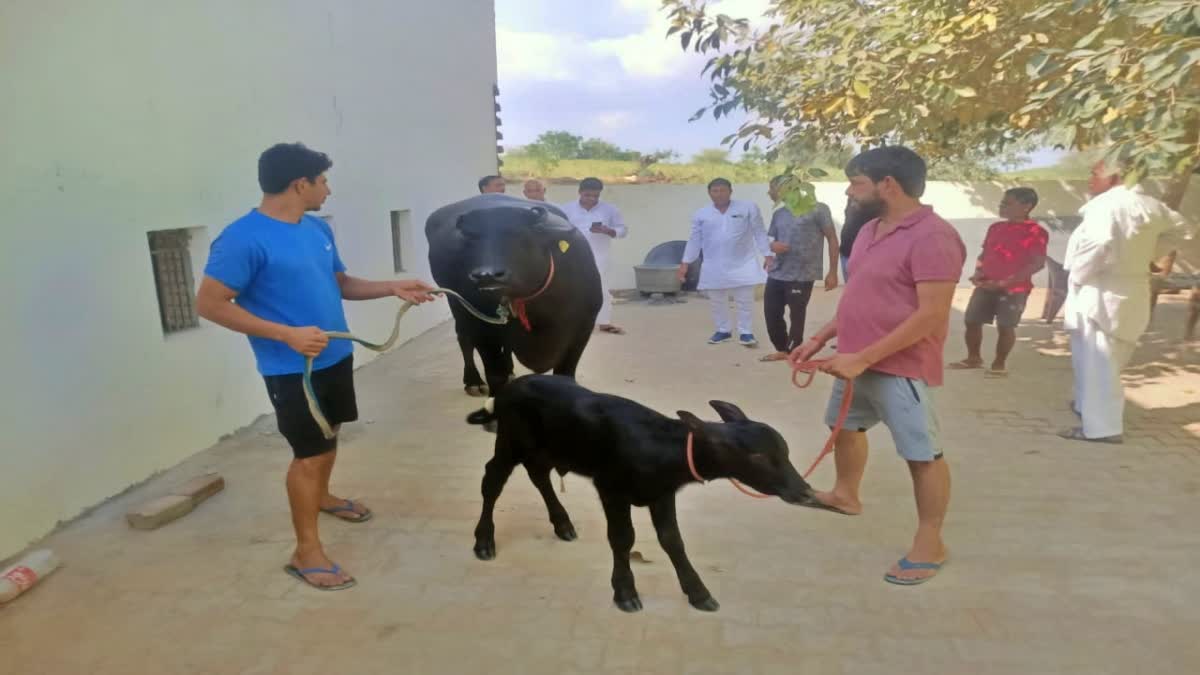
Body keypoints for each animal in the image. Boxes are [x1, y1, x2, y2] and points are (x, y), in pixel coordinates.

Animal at [427, 192, 604, 403]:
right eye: (471, 240)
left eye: (520, 235)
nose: (487, 275)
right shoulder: (482, 328)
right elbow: (495, 375)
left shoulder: (582, 330)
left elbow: (566, 373)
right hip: (457, 304)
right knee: (463, 338)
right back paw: (473, 381)